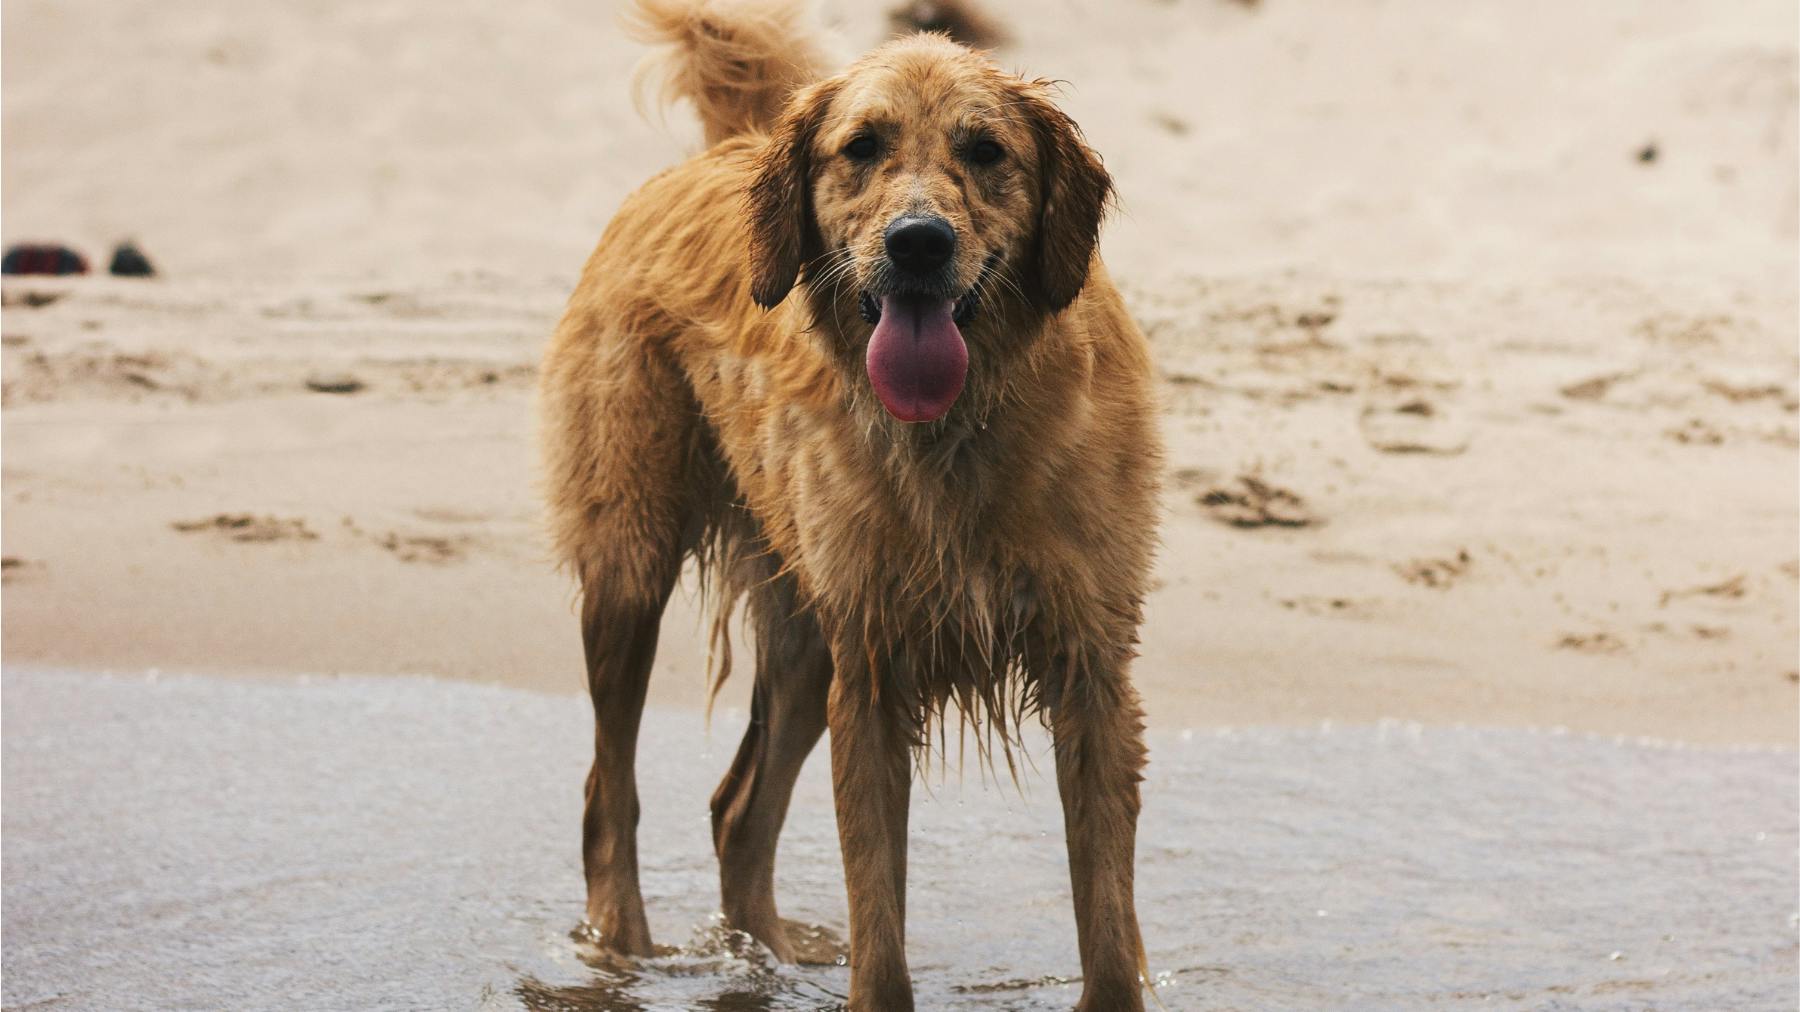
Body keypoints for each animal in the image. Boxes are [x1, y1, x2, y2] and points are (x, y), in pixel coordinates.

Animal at [532, 3, 1159, 1001]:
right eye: (861, 147)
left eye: (985, 150)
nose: (919, 242)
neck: (960, 430)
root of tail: (734, 143)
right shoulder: (871, 674)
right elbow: (879, 919)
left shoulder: (1090, 669)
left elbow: (1105, 921)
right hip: (633, 565)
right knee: (609, 789)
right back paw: (623, 947)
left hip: (802, 636)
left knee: (736, 810)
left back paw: (765, 953)